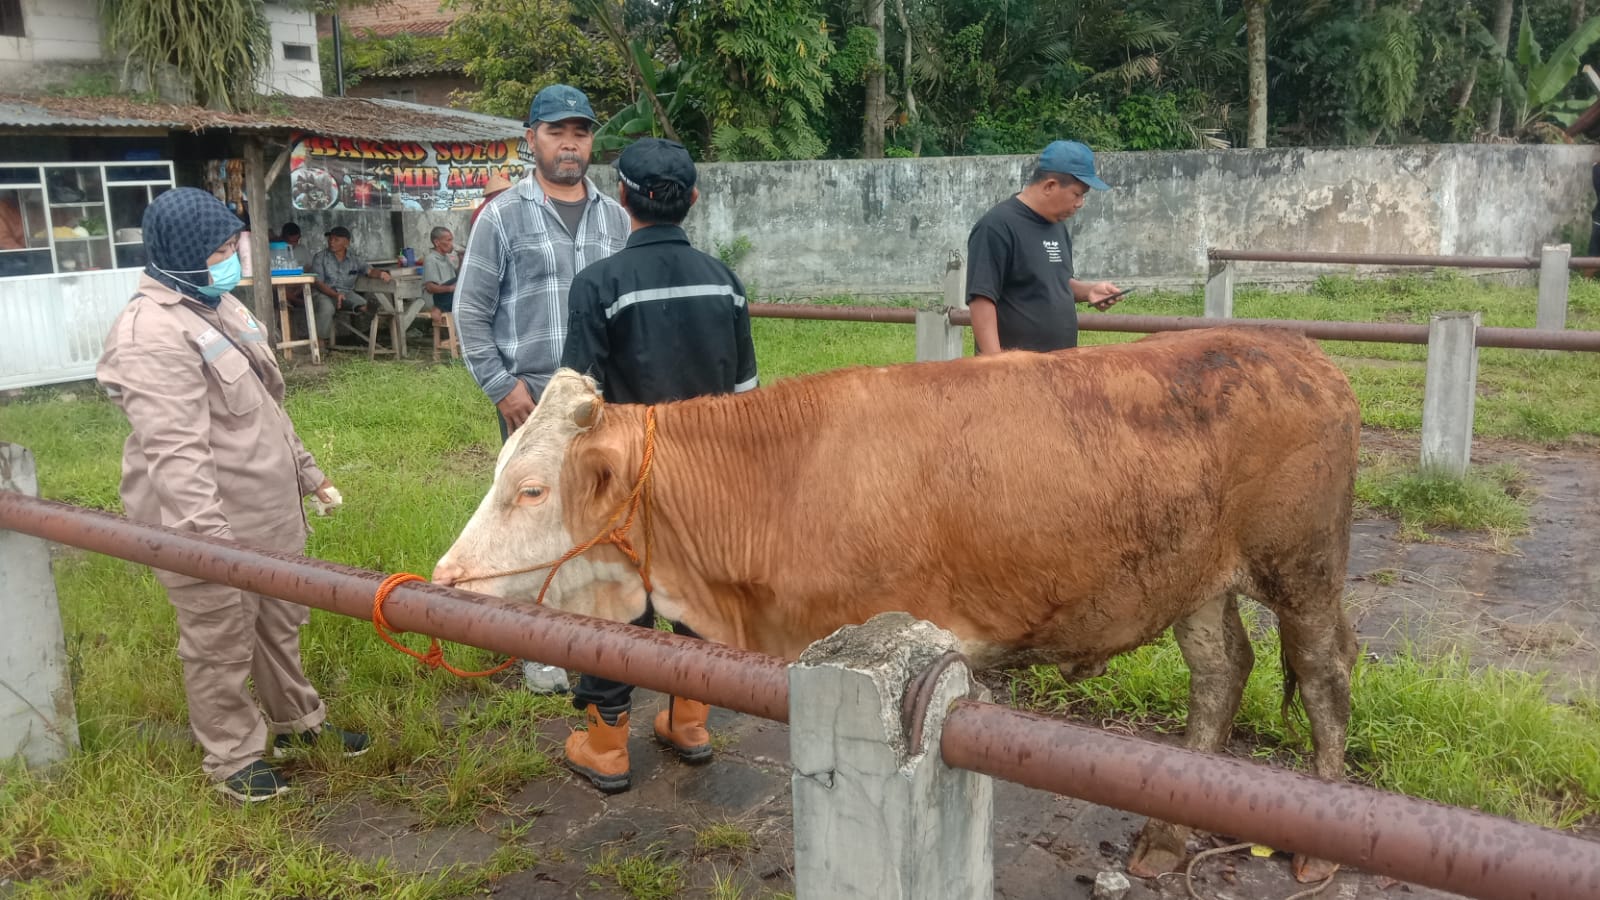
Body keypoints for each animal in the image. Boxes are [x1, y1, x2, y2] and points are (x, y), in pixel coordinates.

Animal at [438, 325, 1363, 877]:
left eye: (529, 489)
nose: (445, 580)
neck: (779, 481)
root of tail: (1300, 352)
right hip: (1194, 582)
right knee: (1222, 671)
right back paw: (1167, 839)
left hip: (1304, 567)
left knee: (1322, 671)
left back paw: (1320, 850)